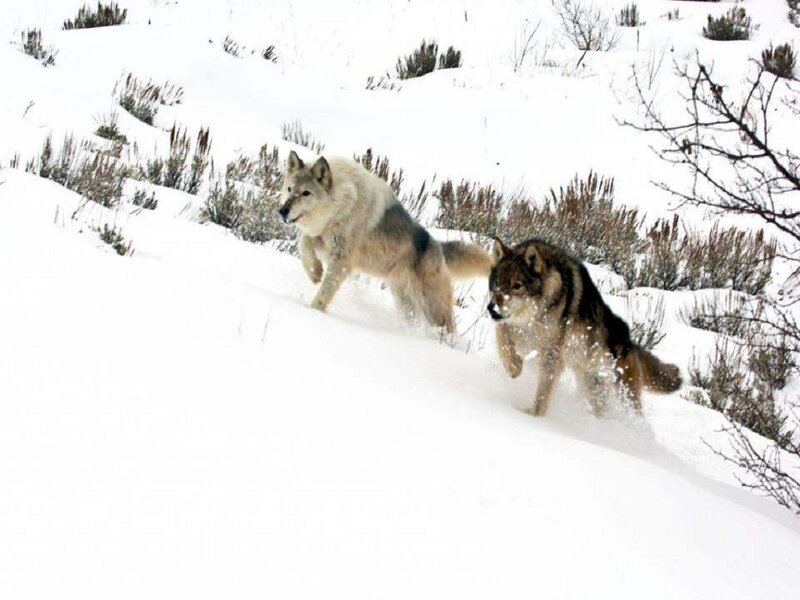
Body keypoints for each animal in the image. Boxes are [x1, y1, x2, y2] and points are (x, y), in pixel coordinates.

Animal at [279, 151, 491, 331]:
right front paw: (315, 272)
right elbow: (304, 243)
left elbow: (325, 292)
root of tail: (437, 245)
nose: (282, 211)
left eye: (305, 193)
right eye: (289, 189)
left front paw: (313, 311)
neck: (343, 201)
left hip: (433, 310)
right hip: (406, 306)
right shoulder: (322, 238)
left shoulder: (342, 259)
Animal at [487, 238, 681, 416]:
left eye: (517, 286)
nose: (491, 308)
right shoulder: (515, 328)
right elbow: (501, 337)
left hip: (623, 397)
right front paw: (514, 367)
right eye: (497, 284)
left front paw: (533, 416)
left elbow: (542, 393)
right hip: (593, 391)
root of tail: (630, 343)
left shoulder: (552, 354)